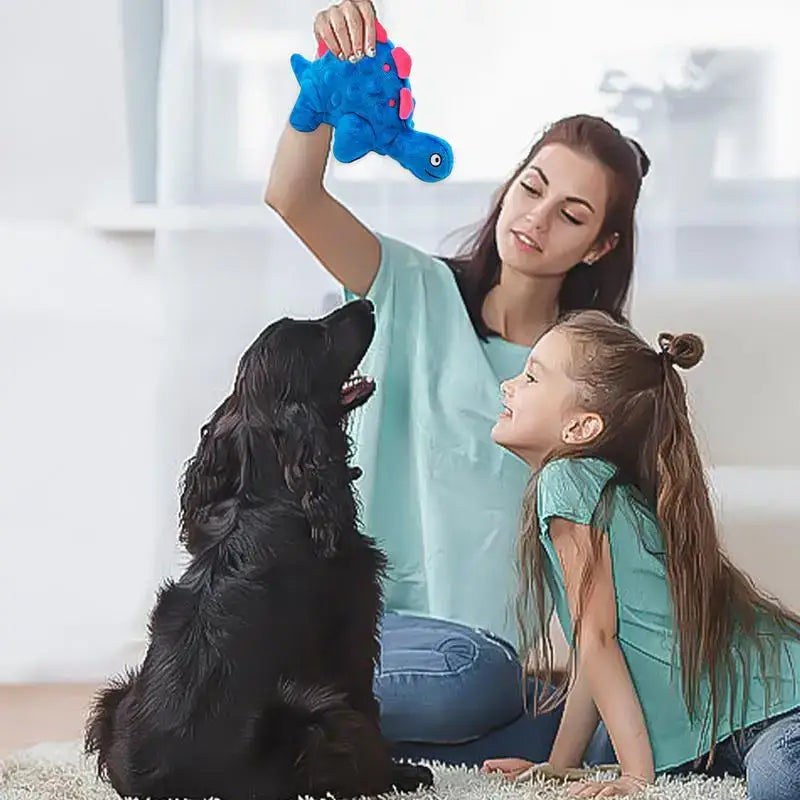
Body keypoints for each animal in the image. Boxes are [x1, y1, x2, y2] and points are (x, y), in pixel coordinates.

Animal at [85, 300, 434, 800]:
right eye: (319, 335)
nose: (366, 304)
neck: (270, 492)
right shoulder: (354, 625)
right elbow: (367, 699)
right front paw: (402, 771)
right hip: (320, 715)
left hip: (115, 695)